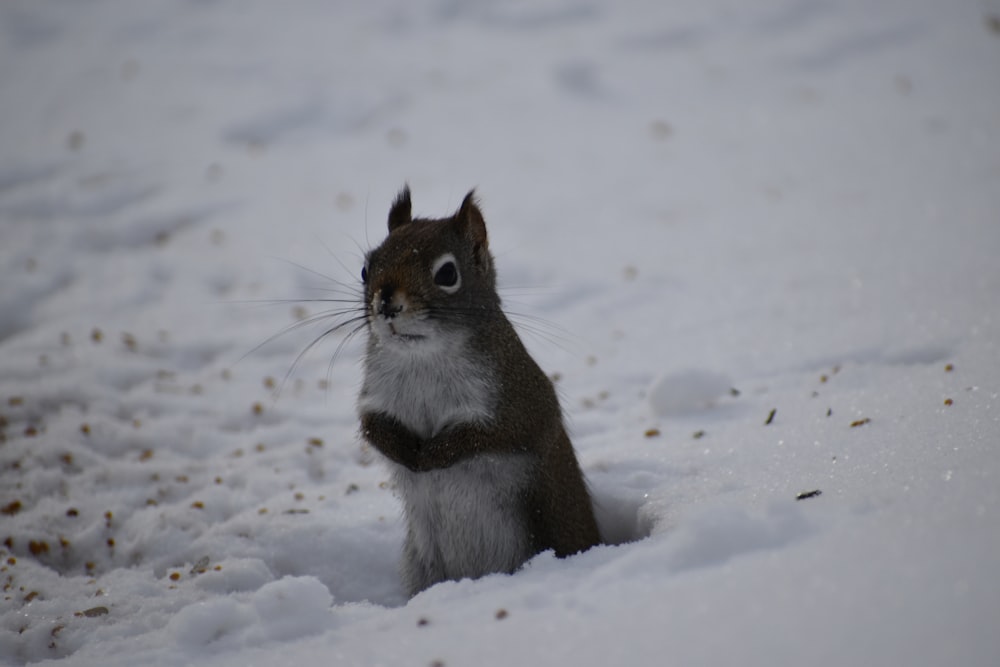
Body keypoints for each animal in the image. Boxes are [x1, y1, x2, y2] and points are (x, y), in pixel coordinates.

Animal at [356, 187, 596, 596]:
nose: (385, 302)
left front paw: (432, 455)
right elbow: (372, 427)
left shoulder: (518, 401)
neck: (424, 358)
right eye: (365, 269)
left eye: (447, 273)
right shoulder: (374, 396)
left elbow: (490, 436)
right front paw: (405, 451)